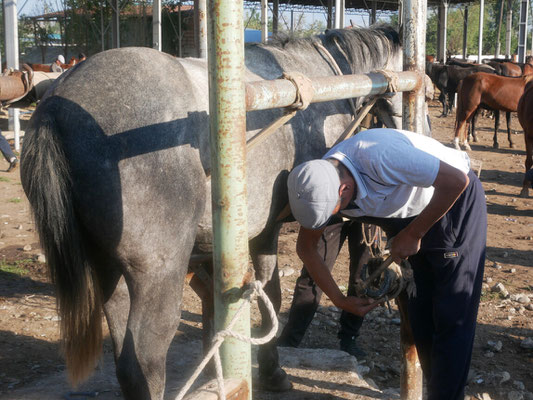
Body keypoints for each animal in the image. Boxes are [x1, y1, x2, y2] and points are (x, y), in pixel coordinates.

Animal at [19, 25, 404, 400]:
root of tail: (56, 107)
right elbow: (271, 295)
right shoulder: (269, 230)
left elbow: (224, 305)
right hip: (157, 273)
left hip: (107, 265)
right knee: (144, 355)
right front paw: (272, 372)